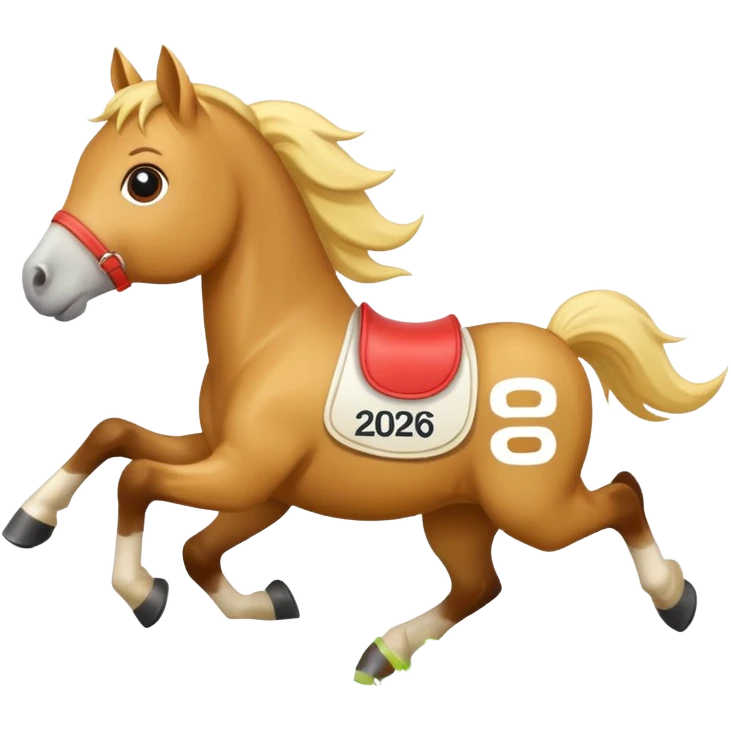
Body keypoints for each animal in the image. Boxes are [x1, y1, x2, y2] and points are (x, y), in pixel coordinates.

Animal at [10, 45, 726, 686]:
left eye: (144, 182)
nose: (37, 279)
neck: (275, 338)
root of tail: (562, 344)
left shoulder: (244, 475)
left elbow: (138, 481)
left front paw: (141, 591)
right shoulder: (242, 472)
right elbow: (124, 448)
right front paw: (33, 521)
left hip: (533, 507)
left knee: (623, 494)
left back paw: (675, 598)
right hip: (457, 511)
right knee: (479, 583)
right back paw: (380, 655)